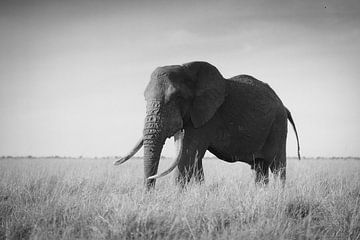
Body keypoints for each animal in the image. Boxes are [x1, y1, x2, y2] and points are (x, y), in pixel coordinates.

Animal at [115, 61, 300, 189]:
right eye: (144, 98)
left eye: (176, 97)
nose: (149, 192)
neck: (187, 69)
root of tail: (284, 106)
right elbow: (195, 159)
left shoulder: (208, 117)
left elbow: (188, 154)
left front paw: (176, 197)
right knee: (259, 167)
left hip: (278, 126)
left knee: (278, 166)